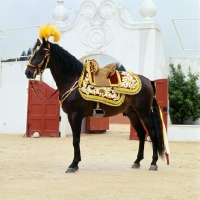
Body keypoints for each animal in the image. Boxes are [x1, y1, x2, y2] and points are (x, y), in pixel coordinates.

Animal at [25, 38, 169, 173]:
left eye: (41, 53)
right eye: (33, 52)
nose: (28, 72)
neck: (73, 80)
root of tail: (148, 81)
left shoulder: (76, 116)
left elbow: (76, 139)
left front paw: (73, 165)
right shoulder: (70, 117)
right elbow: (75, 140)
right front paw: (76, 163)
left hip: (144, 113)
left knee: (152, 134)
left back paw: (153, 163)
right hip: (132, 114)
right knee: (141, 133)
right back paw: (137, 161)